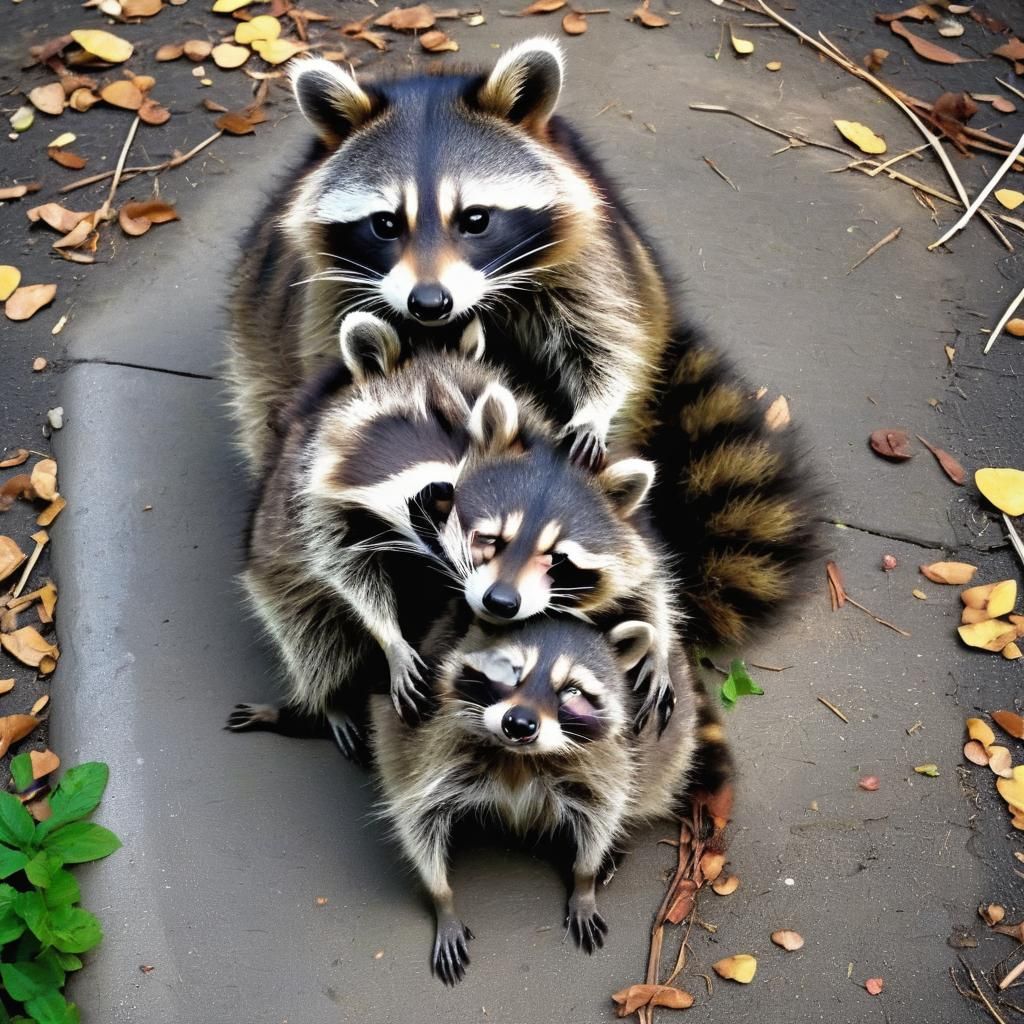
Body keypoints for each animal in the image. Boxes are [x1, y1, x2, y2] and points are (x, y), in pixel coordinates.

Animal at [228, 38, 819, 650]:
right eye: (386, 224)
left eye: (475, 219)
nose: (429, 302)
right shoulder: (326, 291)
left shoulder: (587, 251)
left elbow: (606, 336)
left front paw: (594, 409)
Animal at [371, 612, 732, 984]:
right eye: (508, 671)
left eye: (572, 691)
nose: (519, 723)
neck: (517, 759)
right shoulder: (425, 741)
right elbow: (417, 817)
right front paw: (441, 897)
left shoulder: (609, 759)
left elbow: (604, 810)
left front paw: (584, 881)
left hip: (672, 735)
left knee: (651, 779)